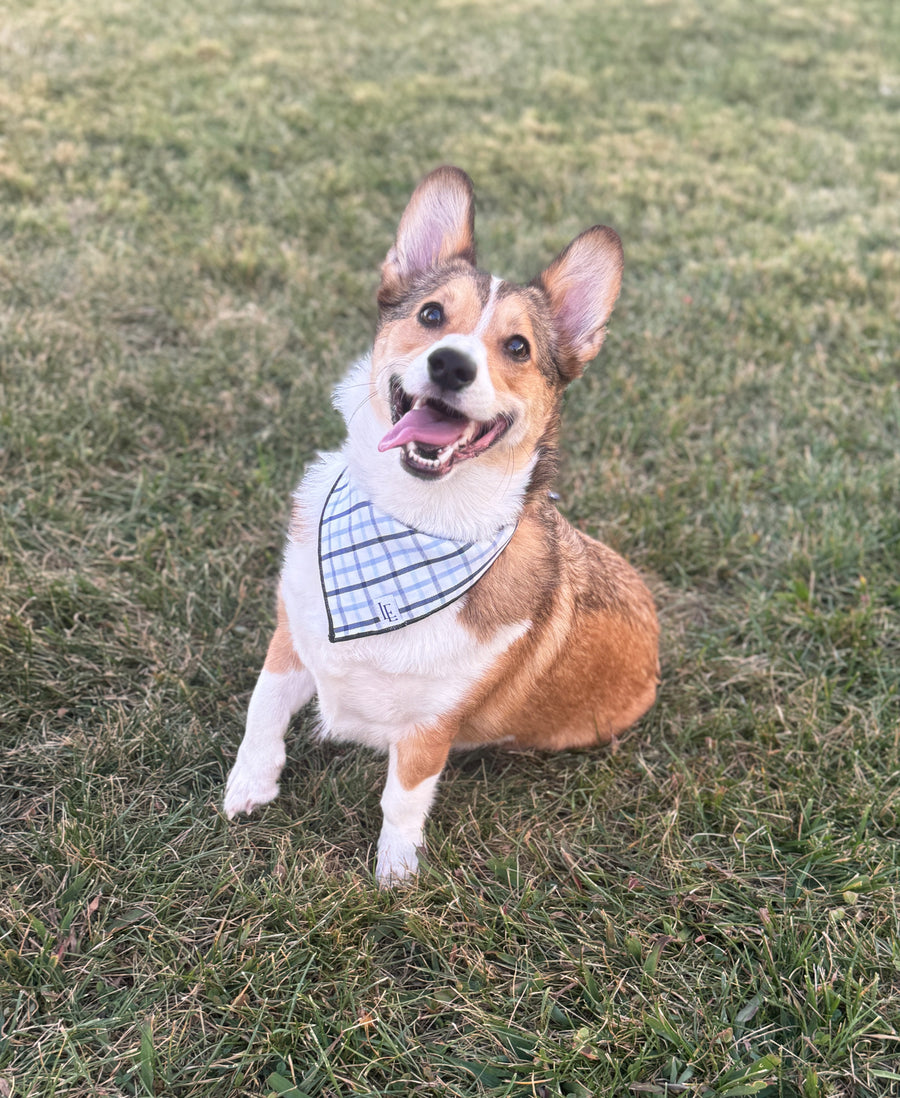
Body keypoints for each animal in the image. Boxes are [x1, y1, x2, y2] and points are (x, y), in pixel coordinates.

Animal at [222, 169, 662, 882]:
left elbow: (401, 798)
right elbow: (264, 710)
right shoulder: (292, 636)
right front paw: (249, 787)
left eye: (518, 347)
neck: (408, 523)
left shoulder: (429, 727)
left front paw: (394, 874)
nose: (451, 365)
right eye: (431, 315)